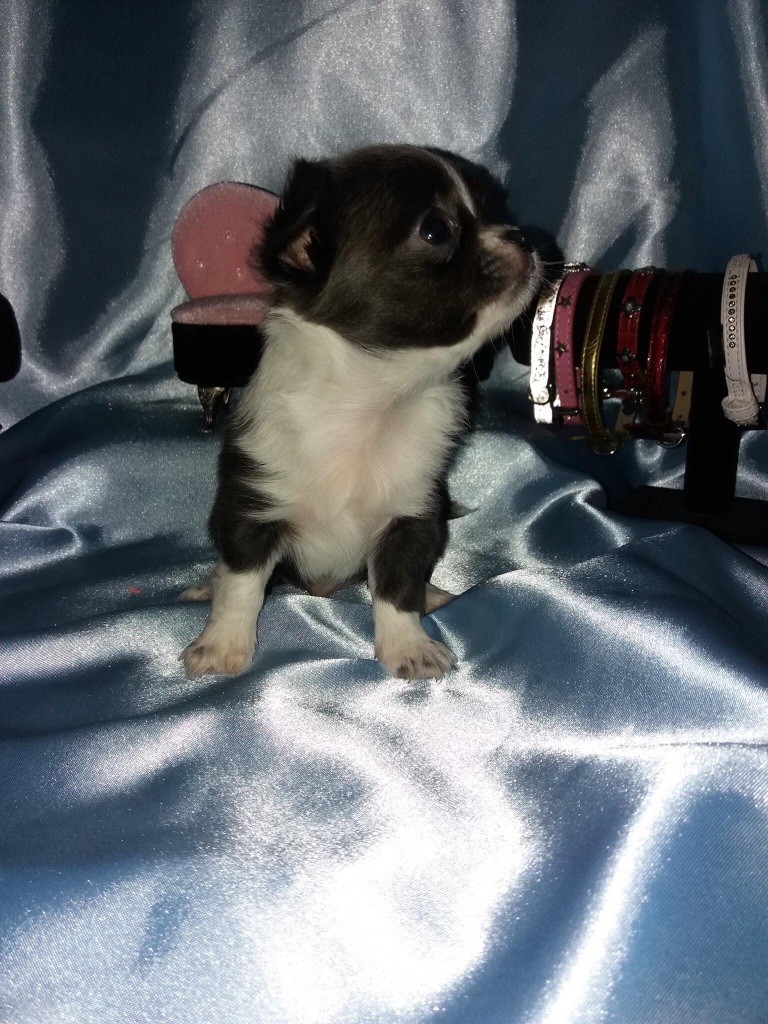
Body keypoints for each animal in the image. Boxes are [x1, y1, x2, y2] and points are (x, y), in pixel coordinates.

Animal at [181, 143, 541, 681]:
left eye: (487, 208)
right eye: (436, 230)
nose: (523, 235)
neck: (371, 401)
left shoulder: (411, 514)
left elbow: (397, 585)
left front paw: (409, 646)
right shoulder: (253, 503)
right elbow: (242, 583)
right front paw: (222, 646)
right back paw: (208, 585)